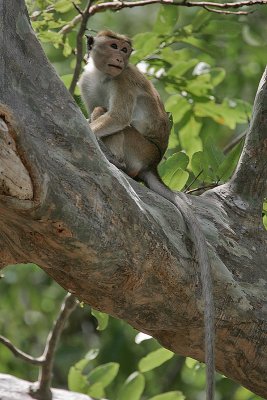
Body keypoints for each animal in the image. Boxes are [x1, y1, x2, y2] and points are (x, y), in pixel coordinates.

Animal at [78, 30, 216, 400]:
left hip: (137, 148)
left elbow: (115, 118)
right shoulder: (86, 81)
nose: (120, 57)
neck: (103, 75)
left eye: (126, 51)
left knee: (118, 124)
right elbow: (94, 108)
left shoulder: (124, 81)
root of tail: (152, 164)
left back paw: (117, 162)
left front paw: (88, 130)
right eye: (114, 47)